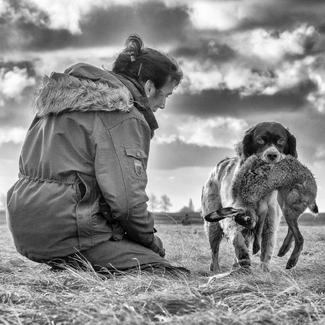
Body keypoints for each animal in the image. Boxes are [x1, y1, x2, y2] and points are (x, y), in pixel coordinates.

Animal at [201, 121, 298, 270]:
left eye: (281, 140)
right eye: (260, 140)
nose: (272, 155)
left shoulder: (270, 223)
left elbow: (266, 251)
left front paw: (264, 271)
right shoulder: (234, 216)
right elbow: (238, 238)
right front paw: (244, 258)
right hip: (213, 224)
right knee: (215, 250)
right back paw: (217, 269)